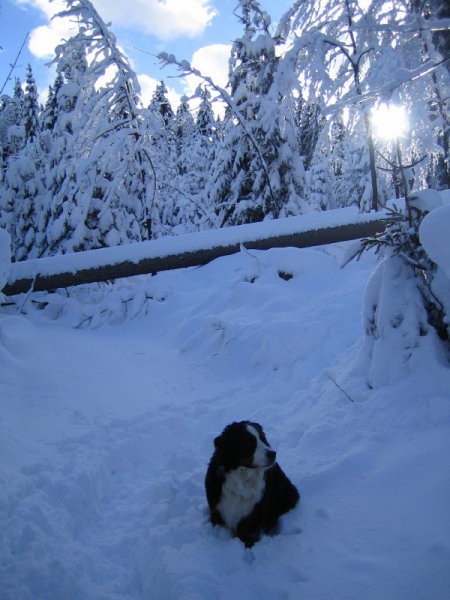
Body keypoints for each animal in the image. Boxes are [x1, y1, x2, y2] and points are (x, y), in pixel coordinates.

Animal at [206, 420, 300, 548]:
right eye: (249, 443)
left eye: (263, 438)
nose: (273, 454)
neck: (242, 478)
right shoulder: (217, 512)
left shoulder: (252, 519)